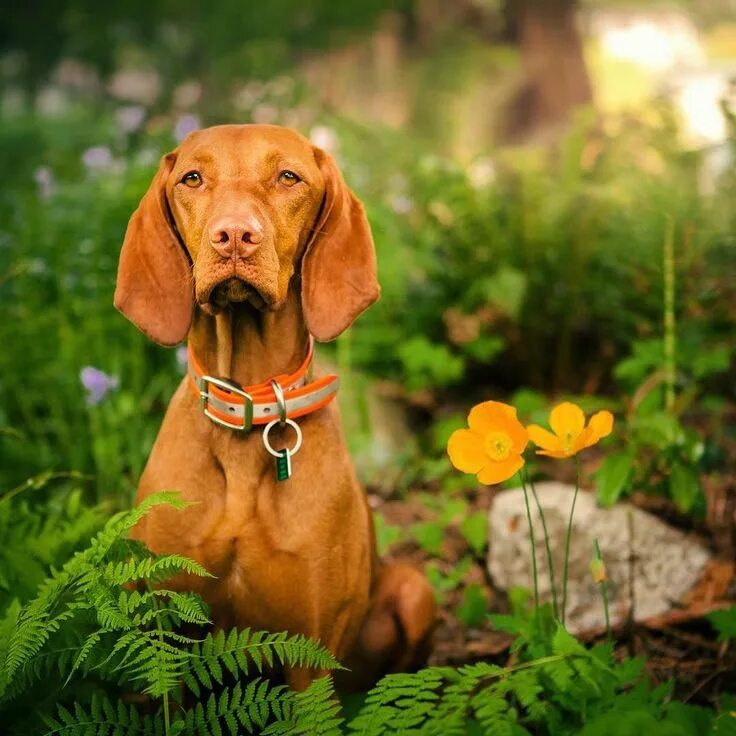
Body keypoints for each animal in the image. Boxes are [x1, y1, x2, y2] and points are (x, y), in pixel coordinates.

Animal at [115, 122, 436, 688]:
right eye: (192, 178)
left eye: (288, 177)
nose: (234, 235)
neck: (249, 398)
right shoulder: (164, 635)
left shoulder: (311, 652)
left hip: (414, 589)